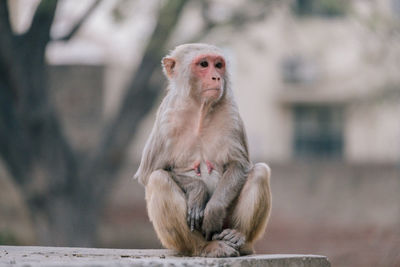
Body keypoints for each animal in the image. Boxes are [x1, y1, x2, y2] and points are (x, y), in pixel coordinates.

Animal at [134, 43, 272, 258]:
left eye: (218, 65)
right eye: (204, 64)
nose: (216, 77)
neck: (199, 110)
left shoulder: (231, 114)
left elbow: (239, 165)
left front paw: (213, 210)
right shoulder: (165, 119)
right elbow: (149, 172)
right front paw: (198, 192)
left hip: (226, 223)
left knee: (260, 172)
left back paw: (238, 237)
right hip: (175, 243)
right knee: (159, 180)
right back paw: (205, 247)